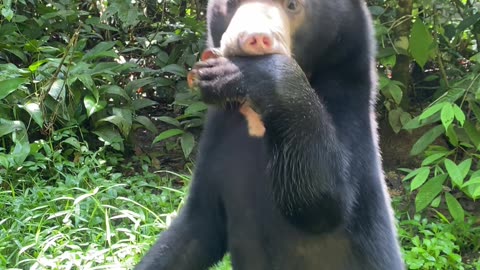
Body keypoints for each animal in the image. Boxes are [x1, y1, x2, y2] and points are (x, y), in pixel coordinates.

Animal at [135, 0, 404, 268]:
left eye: (292, 6)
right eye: (232, 4)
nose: (253, 38)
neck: (253, 110)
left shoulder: (350, 103)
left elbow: (325, 199)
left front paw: (236, 72)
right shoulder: (218, 135)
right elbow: (198, 225)